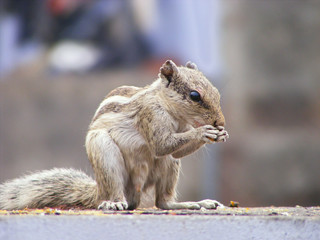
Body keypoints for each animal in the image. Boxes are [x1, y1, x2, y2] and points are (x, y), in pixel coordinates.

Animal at [0, 60, 230, 210]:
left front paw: (220, 134)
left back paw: (192, 204)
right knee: (119, 192)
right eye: (194, 95)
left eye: (217, 92)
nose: (220, 123)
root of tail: (99, 192)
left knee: (163, 202)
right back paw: (114, 203)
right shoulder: (150, 114)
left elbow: (177, 151)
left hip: (169, 166)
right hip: (105, 155)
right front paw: (203, 132)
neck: (171, 111)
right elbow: (161, 144)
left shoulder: (179, 135)